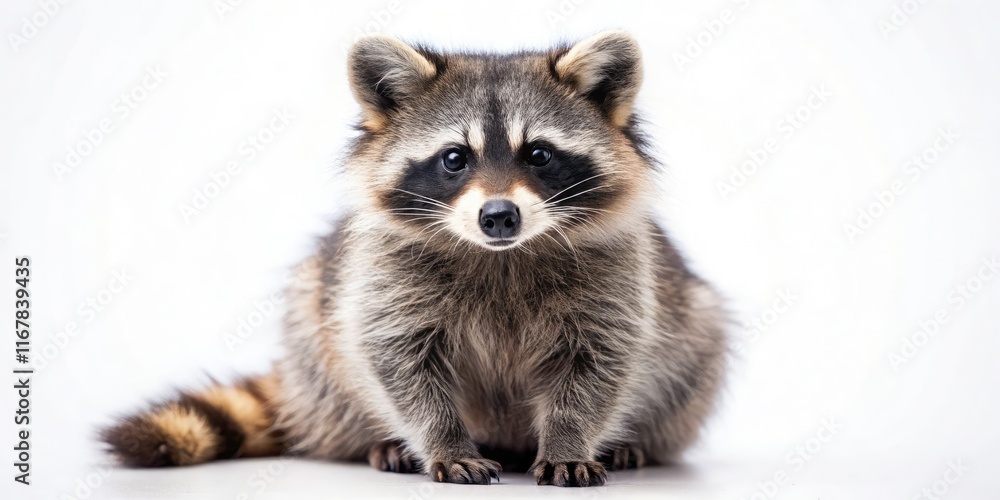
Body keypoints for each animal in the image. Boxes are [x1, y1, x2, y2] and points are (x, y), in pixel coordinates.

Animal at [101, 31, 727, 487]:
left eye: (539, 154)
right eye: (454, 158)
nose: (499, 216)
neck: (500, 254)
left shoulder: (618, 276)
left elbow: (598, 362)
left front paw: (570, 438)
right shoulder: (382, 276)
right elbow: (399, 361)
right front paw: (442, 440)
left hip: (696, 339)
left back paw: (631, 443)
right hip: (312, 335)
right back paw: (381, 442)